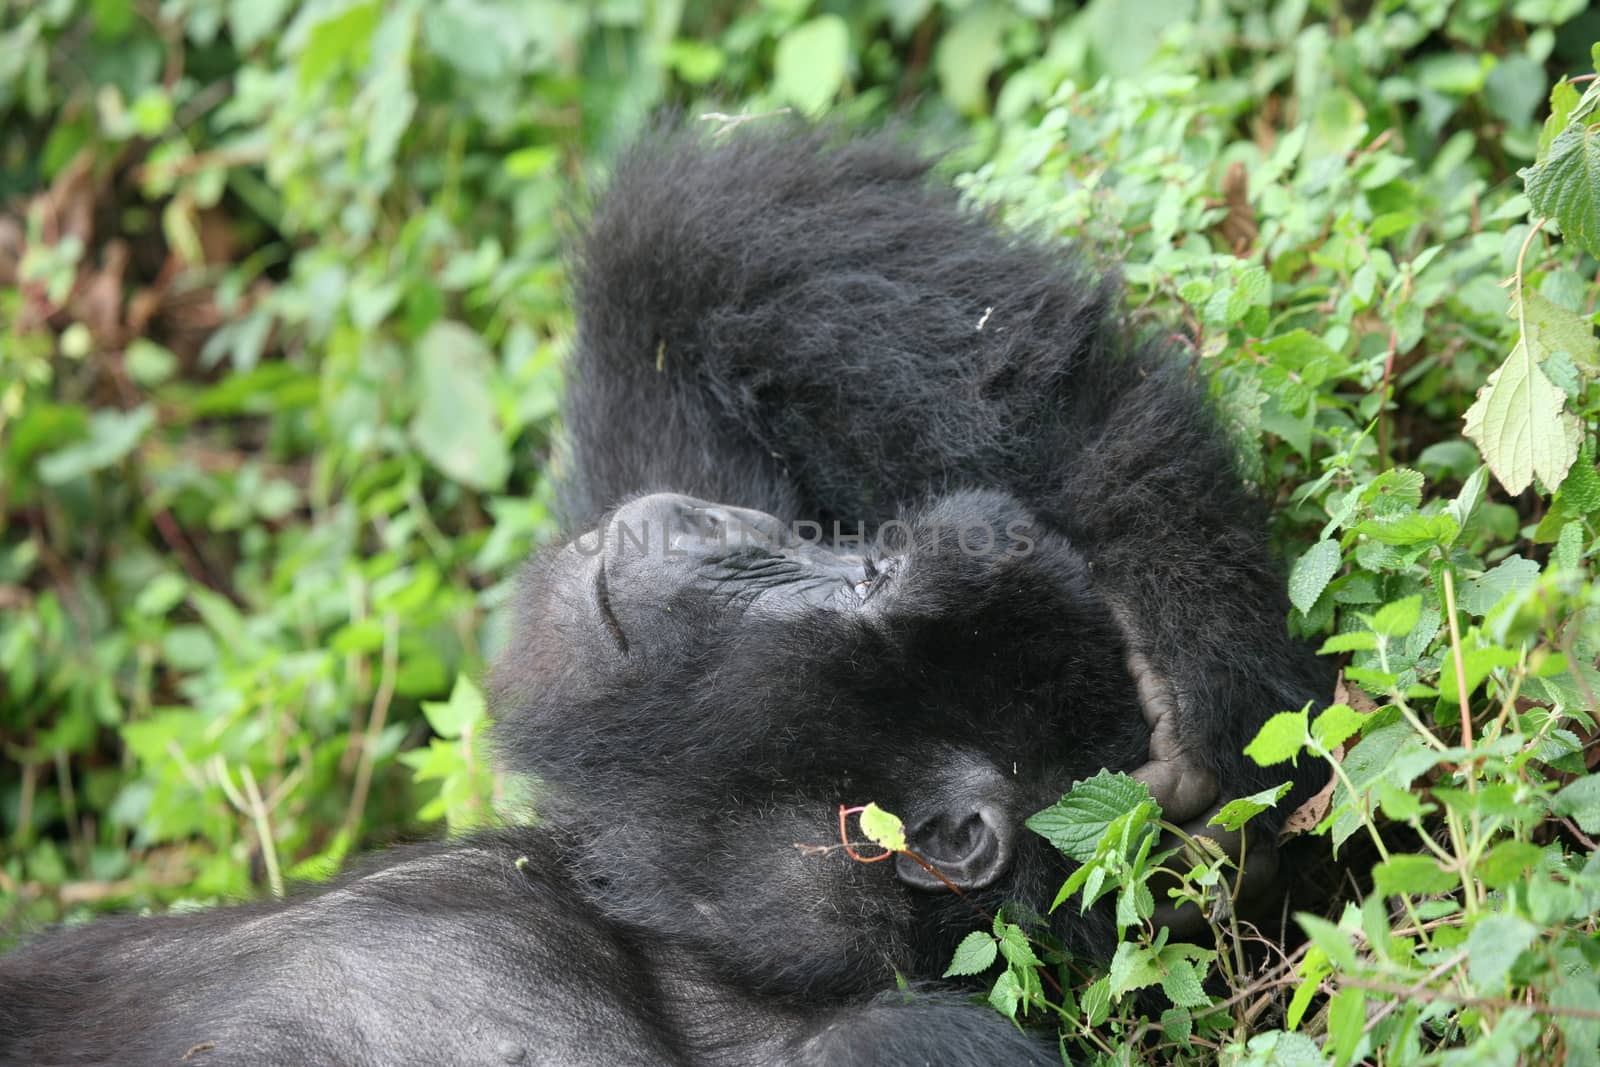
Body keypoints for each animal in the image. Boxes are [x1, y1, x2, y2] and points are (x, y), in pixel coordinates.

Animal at [0, 127, 1324, 1067]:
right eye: (854, 544)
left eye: (867, 576)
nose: (719, 524)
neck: (697, 956)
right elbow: (682, 269)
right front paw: (1192, 642)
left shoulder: (912, 1045)